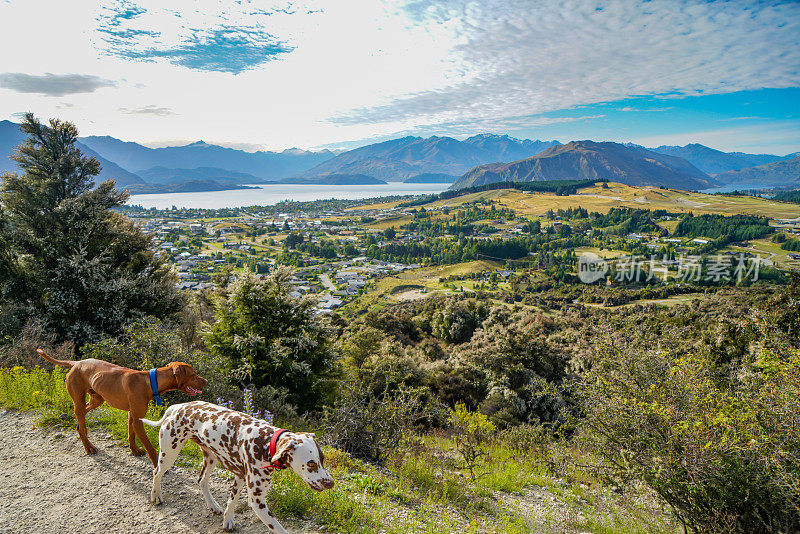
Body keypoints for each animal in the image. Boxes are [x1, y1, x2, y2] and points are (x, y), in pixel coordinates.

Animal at [37, 350, 206, 466]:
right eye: (194, 374)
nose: (205, 381)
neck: (151, 381)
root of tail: (77, 363)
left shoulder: (133, 415)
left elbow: (131, 434)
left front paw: (134, 450)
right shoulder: (138, 420)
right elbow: (150, 447)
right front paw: (156, 463)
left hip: (97, 399)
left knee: (81, 418)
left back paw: (81, 428)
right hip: (78, 399)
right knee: (80, 416)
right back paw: (89, 447)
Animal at [142, 404, 332, 532]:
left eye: (322, 459)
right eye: (311, 463)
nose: (331, 483)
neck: (266, 442)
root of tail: (177, 406)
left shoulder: (240, 477)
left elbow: (231, 501)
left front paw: (227, 520)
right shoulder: (257, 501)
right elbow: (278, 528)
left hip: (211, 459)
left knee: (201, 481)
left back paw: (213, 505)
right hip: (169, 453)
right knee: (156, 472)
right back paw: (155, 495)